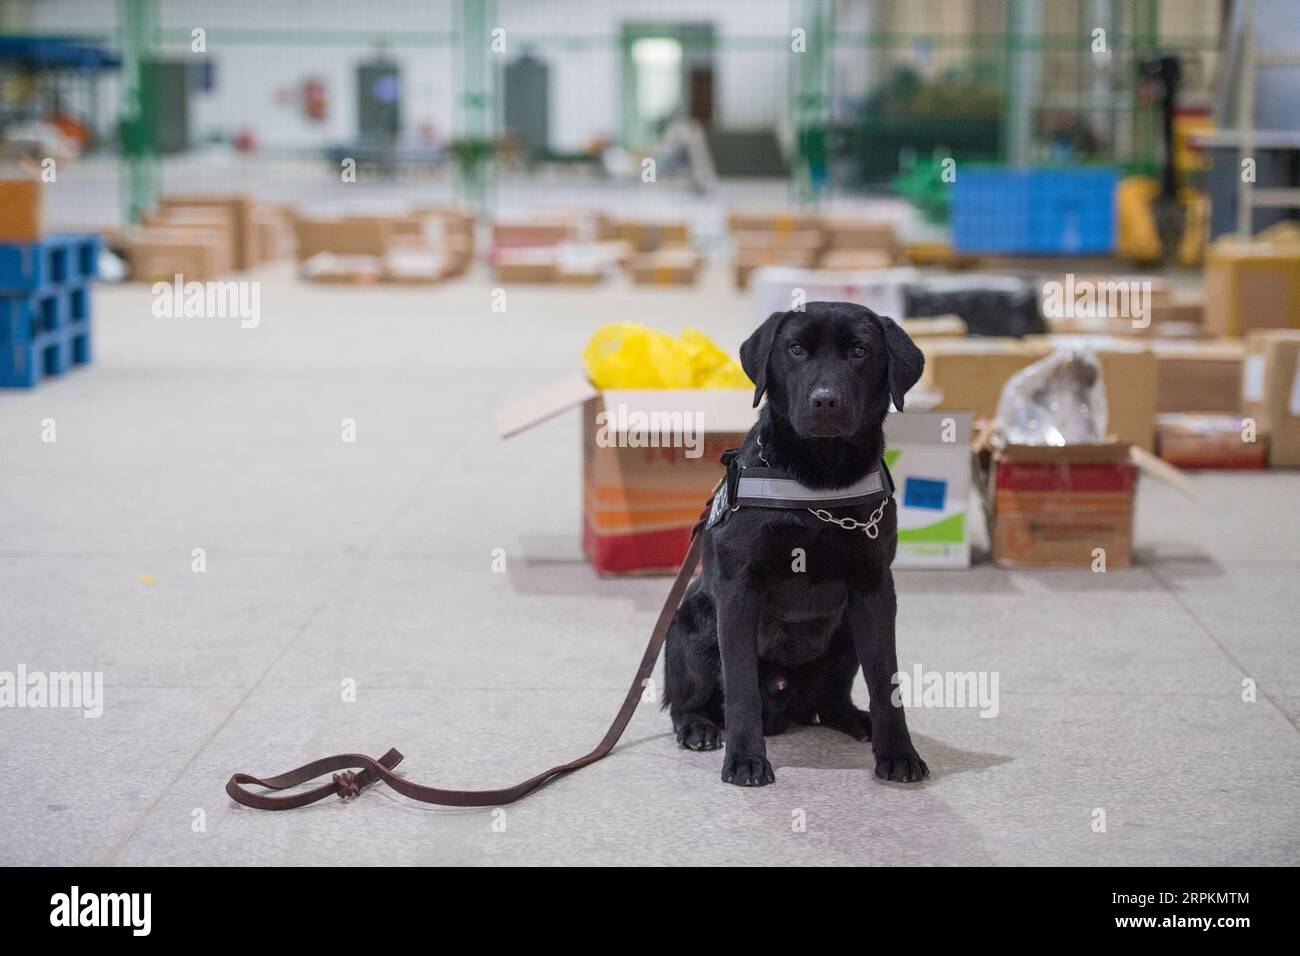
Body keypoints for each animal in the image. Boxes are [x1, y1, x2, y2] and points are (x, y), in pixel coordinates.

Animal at [665, 303, 930, 790]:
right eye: (795, 349)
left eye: (860, 351)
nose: (825, 400)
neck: (818, 483)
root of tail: (788, 710)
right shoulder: (738, 590)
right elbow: (741, 686)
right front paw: (746, 759)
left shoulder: (874, 589)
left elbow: (886, 681)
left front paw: (899, 753)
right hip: (691, 623)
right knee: (687, 700)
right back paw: (699, 727)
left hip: (845, 631)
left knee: (832, 701)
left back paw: (857, 720)